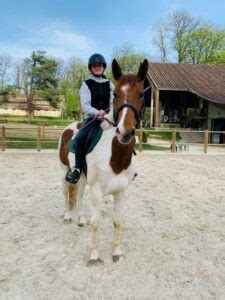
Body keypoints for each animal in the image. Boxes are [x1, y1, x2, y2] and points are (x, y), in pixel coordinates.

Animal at [59, 58, 149, 264]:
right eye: (115, 94)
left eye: (141, 94)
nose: (125, 132)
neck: (115, 157)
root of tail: (71, 128)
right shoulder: (98, 191)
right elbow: (96, 223)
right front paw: (93, 255)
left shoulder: (121, 192)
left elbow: (117, 221)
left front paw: (116, 252)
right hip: (64, 171)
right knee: (66, 193)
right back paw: (67, 216)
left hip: (83, 177)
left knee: (79, 195)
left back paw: (80, 220)